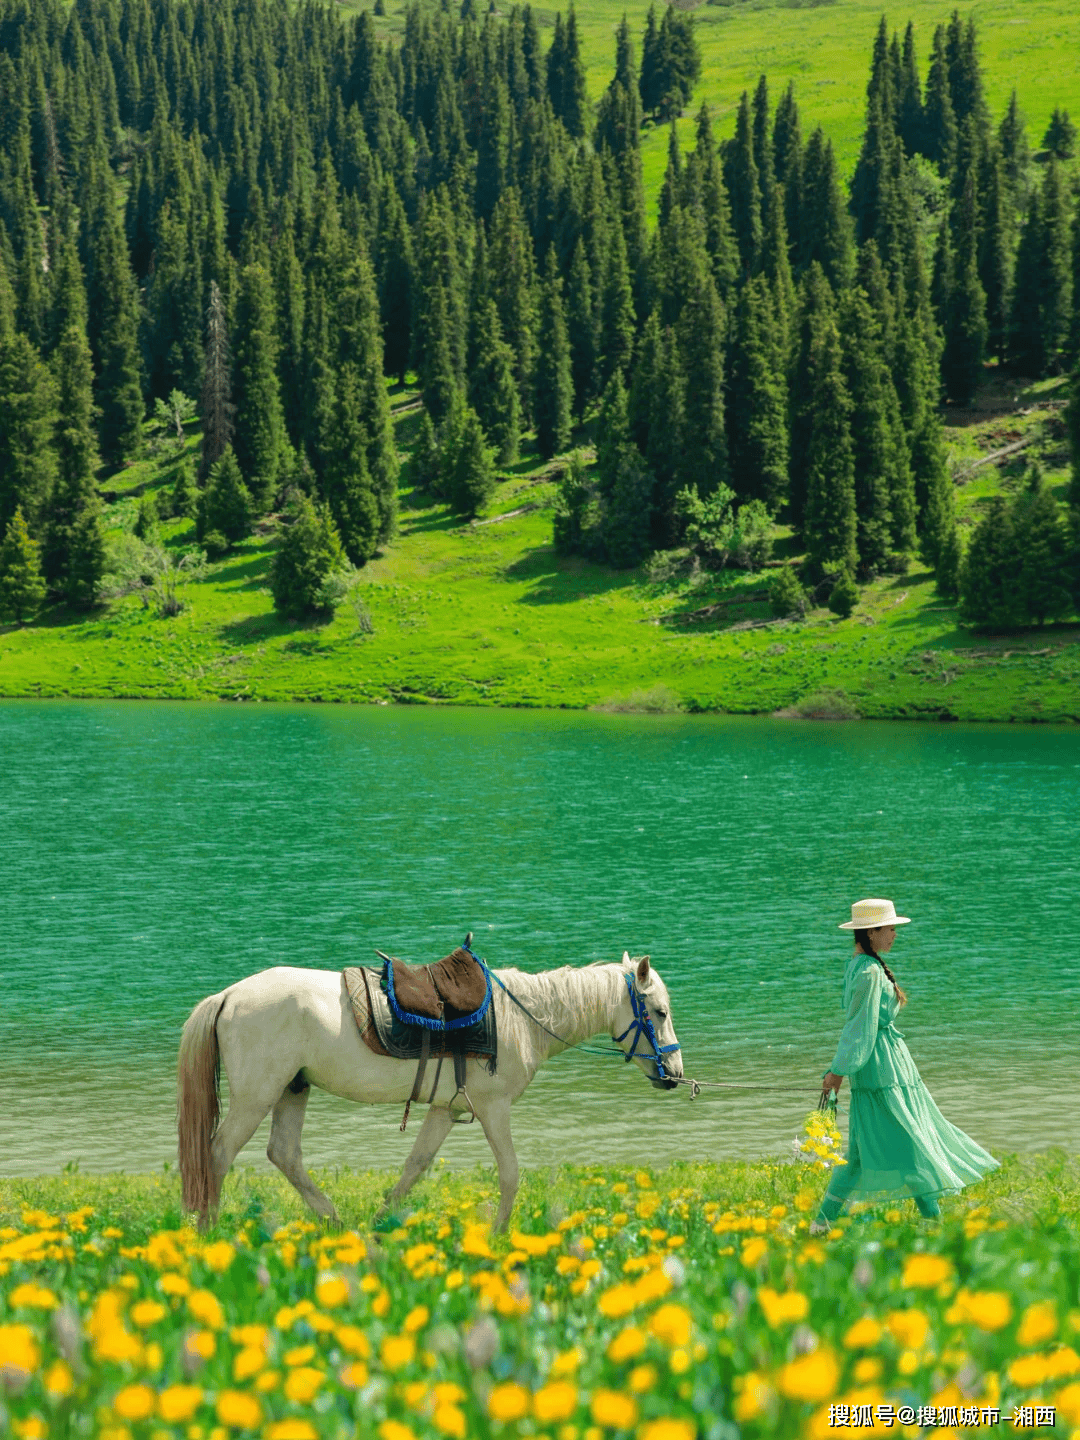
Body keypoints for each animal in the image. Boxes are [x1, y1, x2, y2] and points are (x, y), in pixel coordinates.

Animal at [177, 950, 685, 1232]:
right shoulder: (494, 1109)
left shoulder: (445, 1111)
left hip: (292, 1089)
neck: (521, 1018)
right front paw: (500, 1234)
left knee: (283, 1154)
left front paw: (381, 1221)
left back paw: (333, 1219)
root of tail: (228, 996)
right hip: (257, 1096)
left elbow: (415, 1166)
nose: (674, 1074)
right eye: (659, 1012)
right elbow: (510, 1174)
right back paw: (209, 1229)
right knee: (218, 1153)